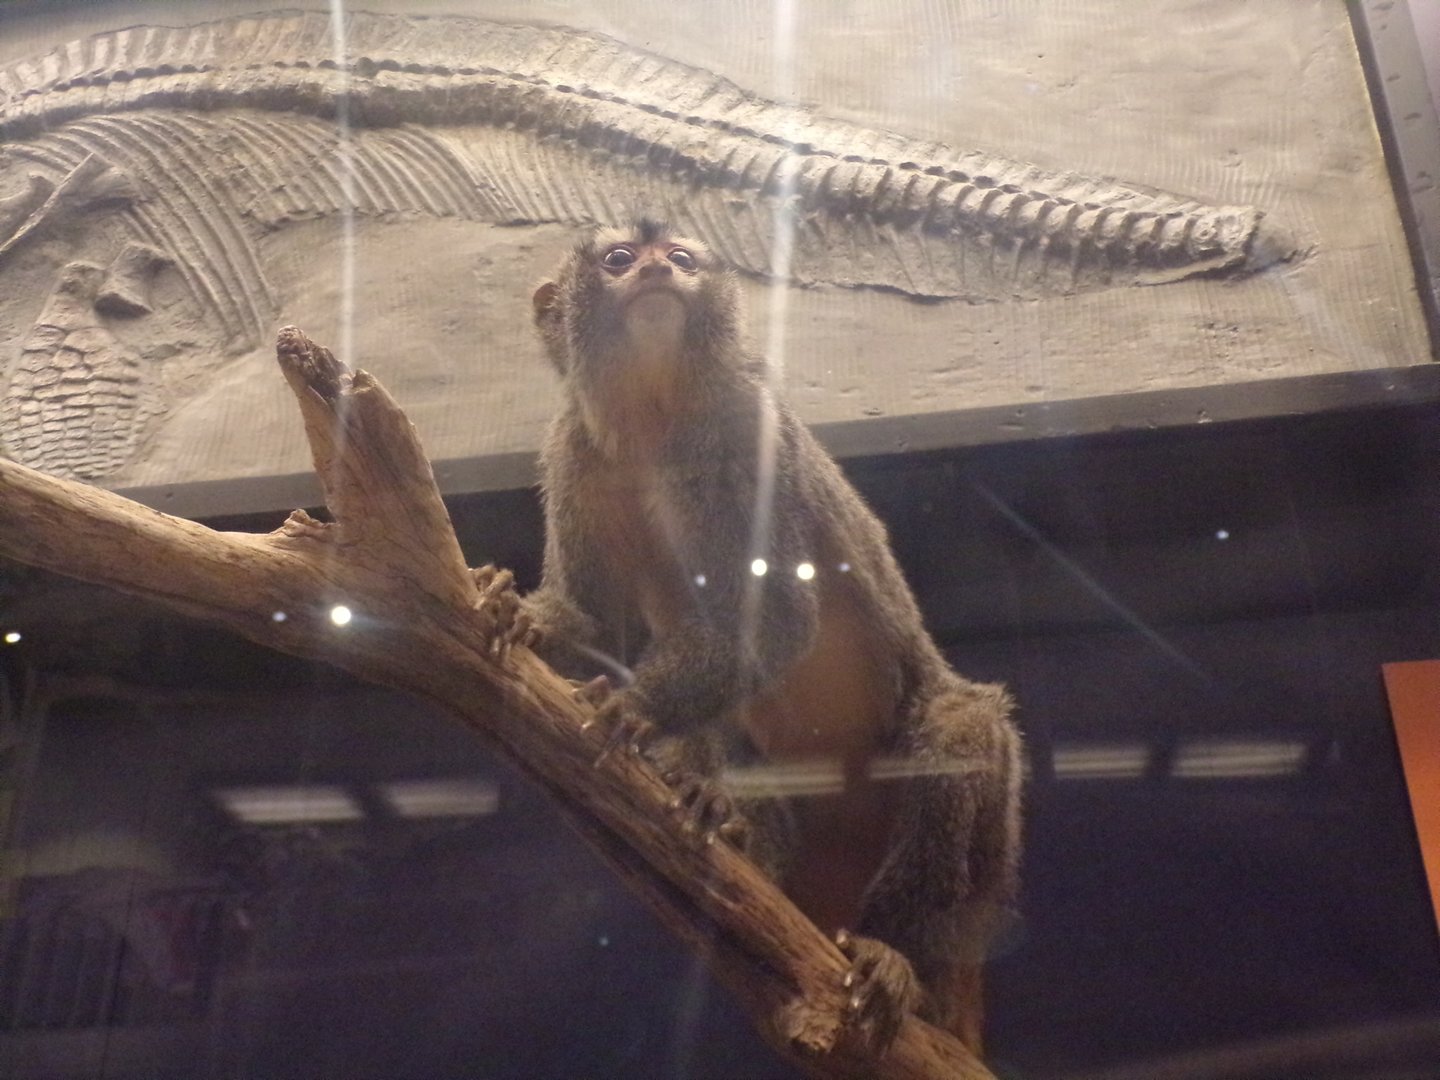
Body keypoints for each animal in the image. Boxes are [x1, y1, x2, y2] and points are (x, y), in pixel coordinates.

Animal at [525, 219, 1022, 1058]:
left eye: (680, 258)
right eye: (620, 259)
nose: (657, 271)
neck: (654, 418)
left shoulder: (740, 426)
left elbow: (783, 613)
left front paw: (639, 711)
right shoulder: (574, 450)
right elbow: (592, 623)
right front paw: (517, 617)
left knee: (962, 728)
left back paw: (894, 954)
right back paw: (725, 818)